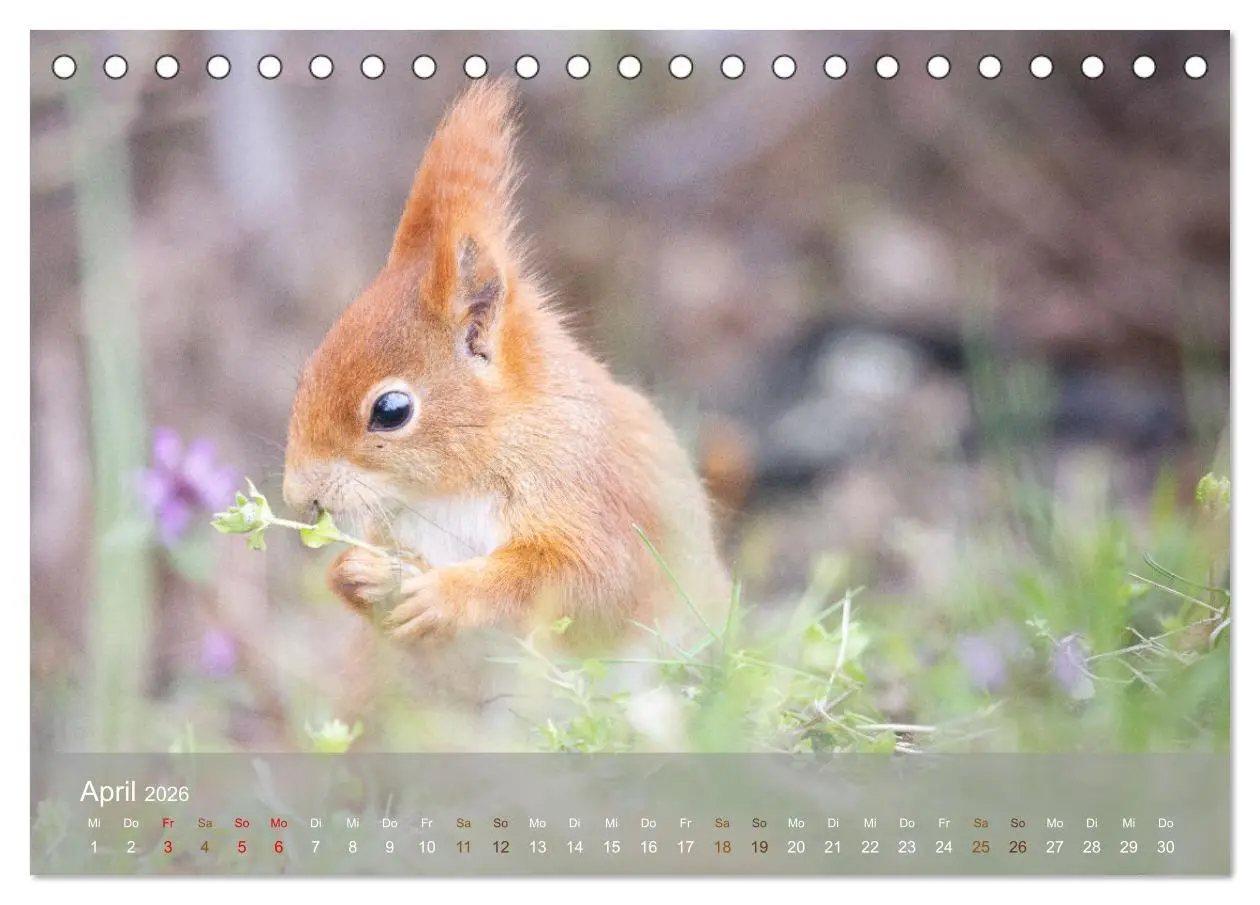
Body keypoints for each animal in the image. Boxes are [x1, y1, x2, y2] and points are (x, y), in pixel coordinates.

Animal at [282, 80, 732, 741]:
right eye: (308, 372)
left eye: (391, 410)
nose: (298, 496)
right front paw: (358, 573)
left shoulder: (593, 495)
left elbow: (589, 579)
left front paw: (445, 595)